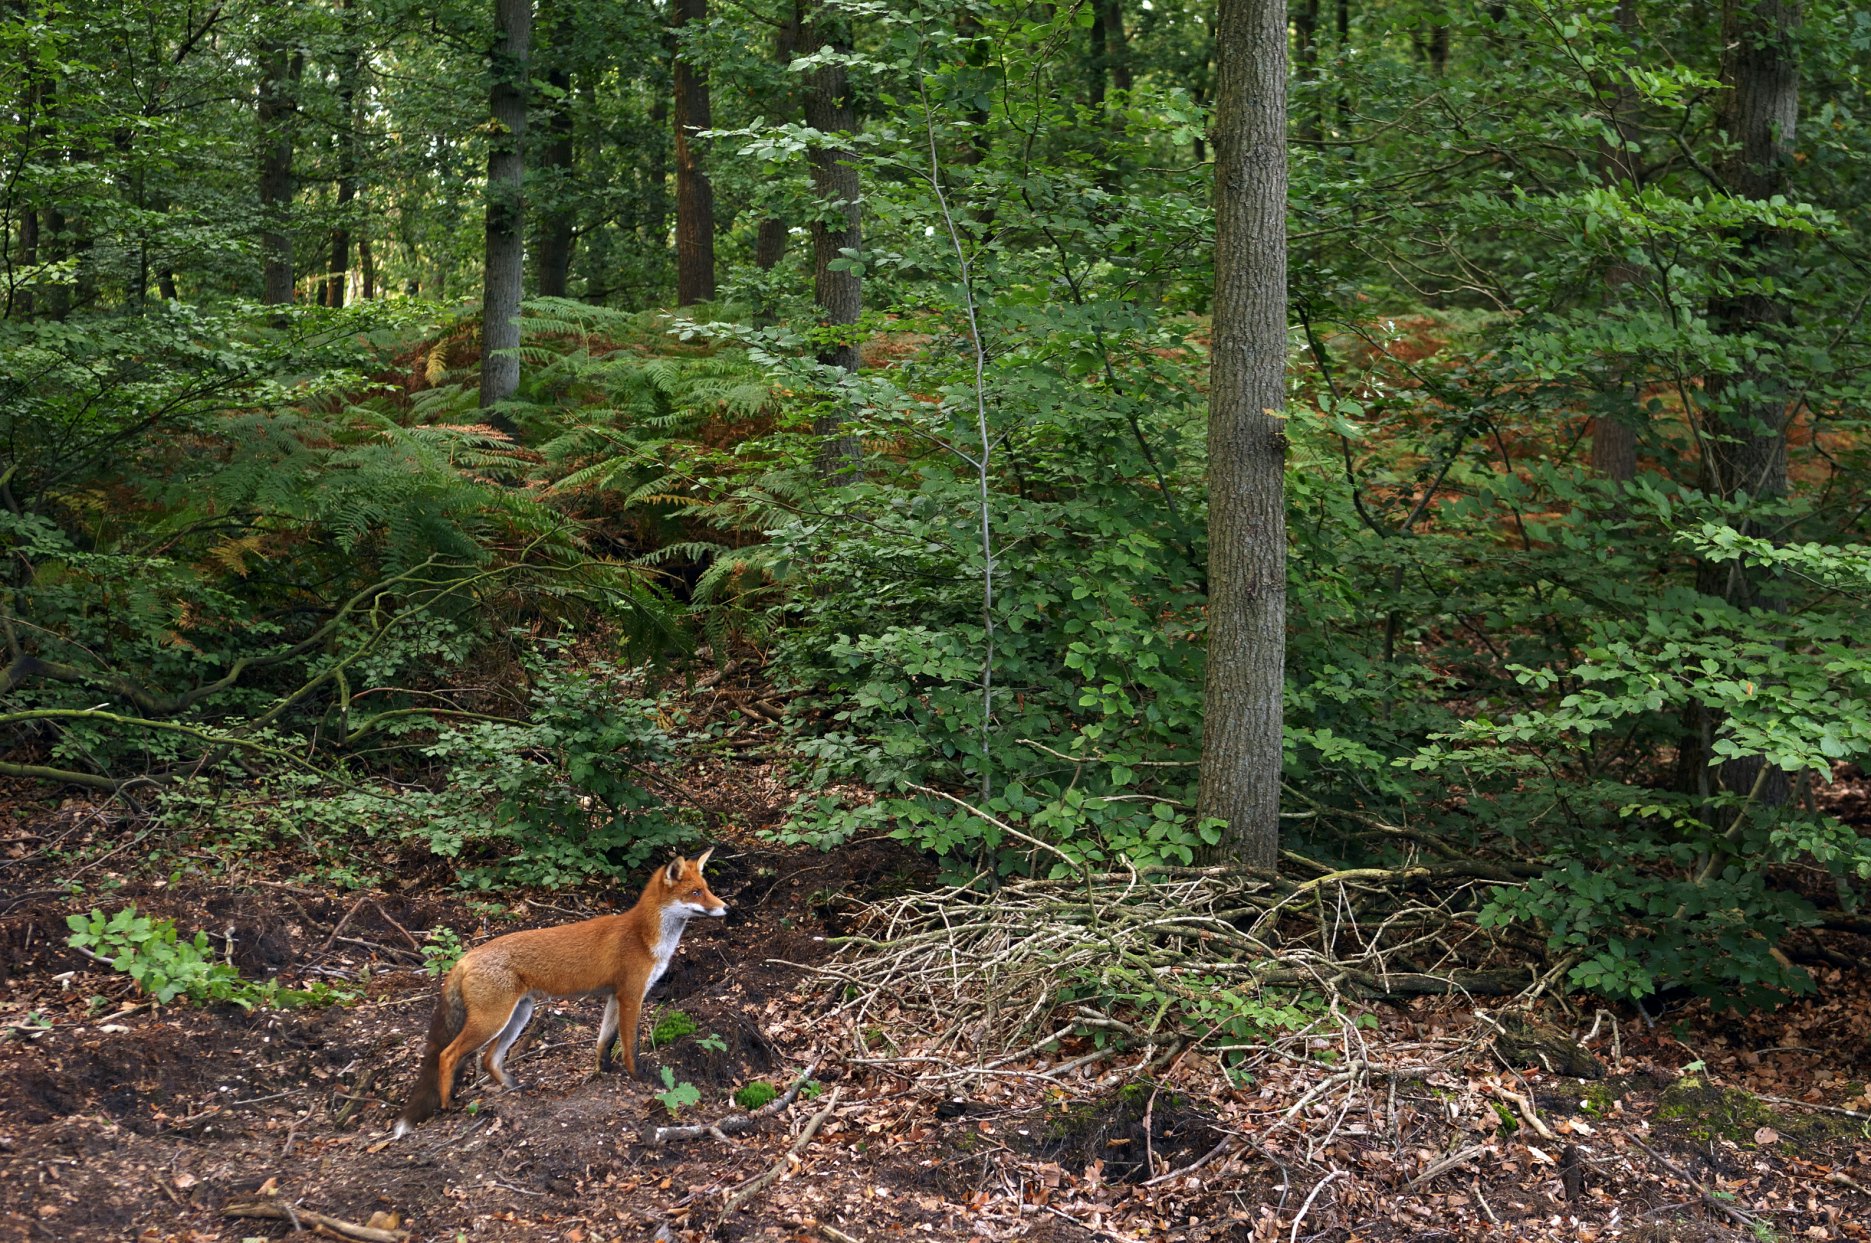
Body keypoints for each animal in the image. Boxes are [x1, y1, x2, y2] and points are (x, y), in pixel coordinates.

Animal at [393, 849, 728, 1136]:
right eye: (695, 893)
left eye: (707, 888)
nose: (727, 908)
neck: (644, 937)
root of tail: (465, 957)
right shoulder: (631, 996)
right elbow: (629, 1045)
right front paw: (638, 1078)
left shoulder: (613, 997)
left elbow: (603, 1042)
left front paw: (601, 1073)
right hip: (492, 1021)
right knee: (448, 1055)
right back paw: (448, 1104)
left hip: (519, 1015)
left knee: (489, 1058)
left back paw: (514, 1087)